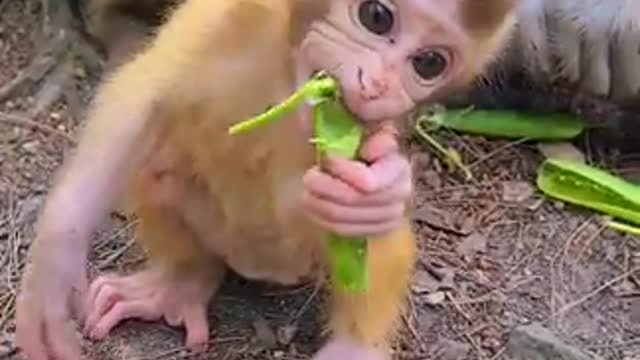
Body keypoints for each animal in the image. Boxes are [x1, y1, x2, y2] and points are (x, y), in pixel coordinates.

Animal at [15, 0, 516, 360]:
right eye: (376, 16)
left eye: (429, 63)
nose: (378, 84)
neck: (286, 68)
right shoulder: (224, 16)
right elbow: (146, 94)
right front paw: (55, 267)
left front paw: (378, 192)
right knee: (160, 165)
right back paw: (179, 284)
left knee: (372, 239)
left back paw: (353, 347)